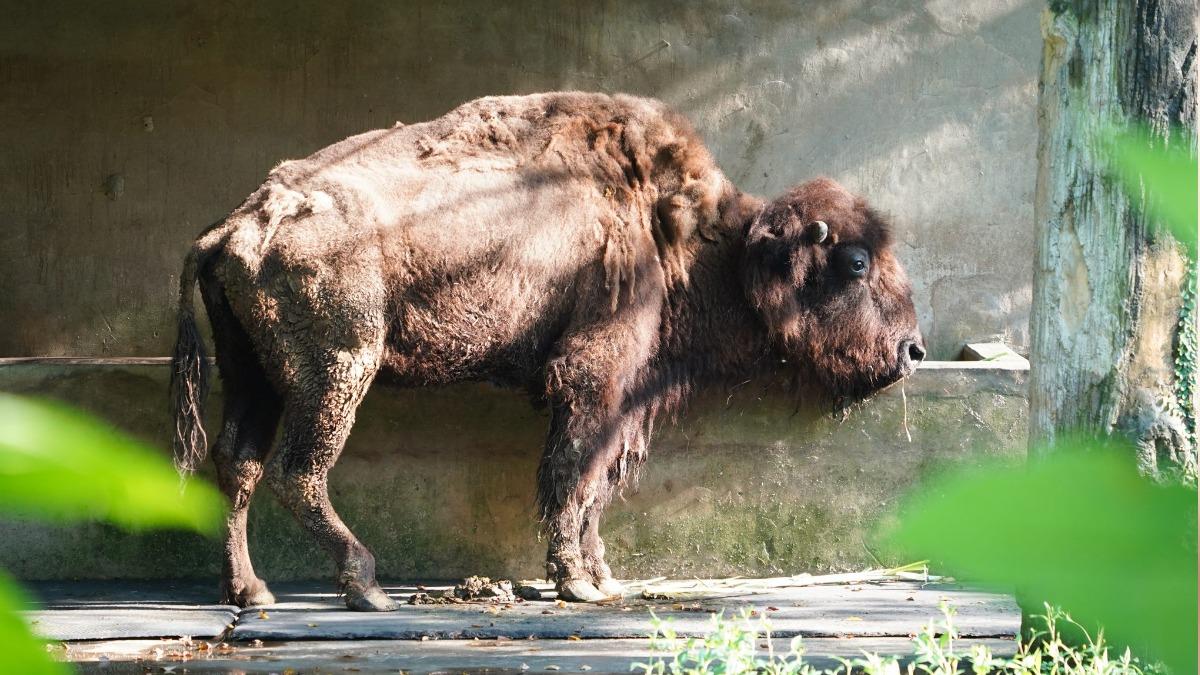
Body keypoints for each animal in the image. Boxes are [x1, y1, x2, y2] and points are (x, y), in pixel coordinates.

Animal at [169, 90, 921, 610]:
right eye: (856, 262)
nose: (913, 349)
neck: (688, 235)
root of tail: (239, 221)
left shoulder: (623, 400)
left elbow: (595, 484)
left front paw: (600, 574)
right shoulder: (593, 379)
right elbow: (573, 473)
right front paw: (576, 582)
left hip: (255, 374)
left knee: (237, 462)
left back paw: (250, 590)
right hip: (339, 369)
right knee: (298, 471)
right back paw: (365, 584)